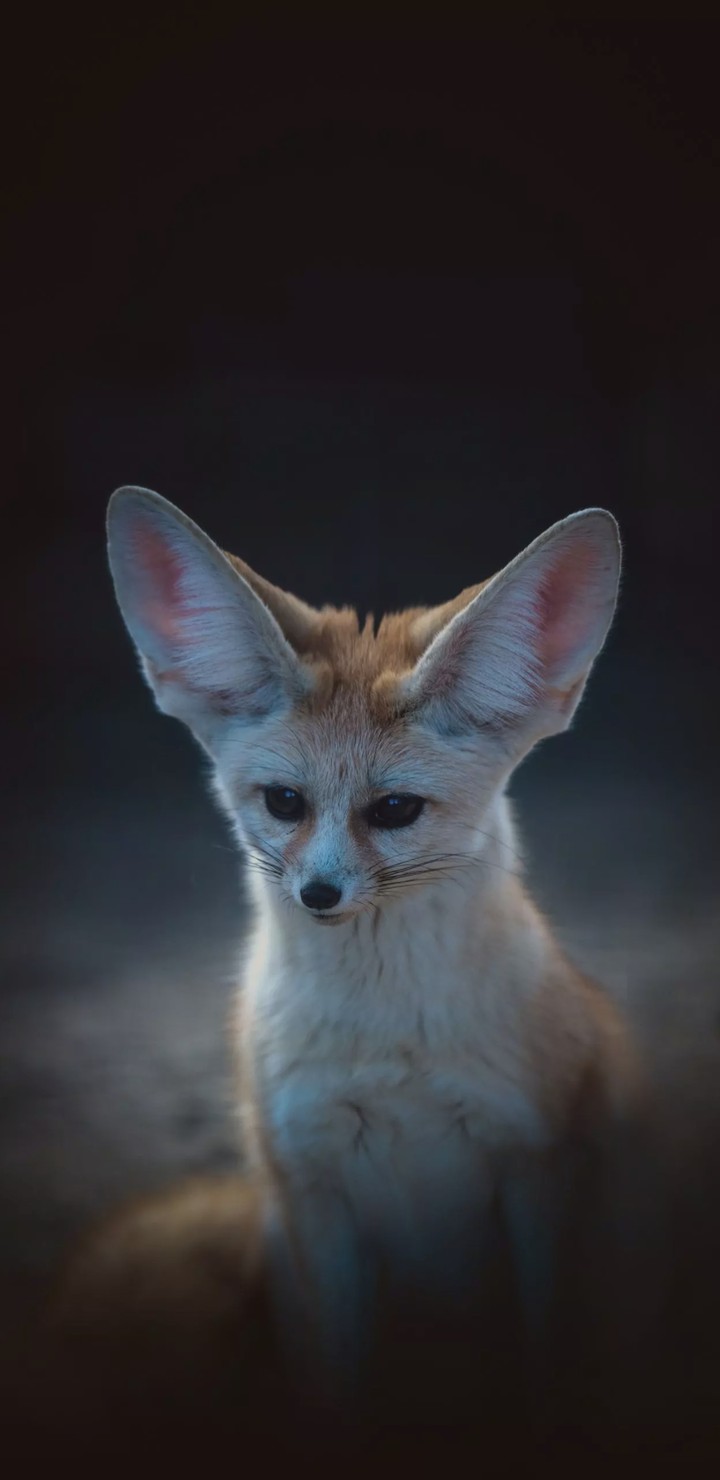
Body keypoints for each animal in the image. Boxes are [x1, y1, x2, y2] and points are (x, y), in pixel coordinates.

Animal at [97, 486, 663, 1437]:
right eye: (284, 802)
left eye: (395, 810)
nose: (318, 894)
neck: (387, 1043)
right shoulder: (311, 1193)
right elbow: (337, 1387)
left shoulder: (539, 1169)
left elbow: (548, 1356)